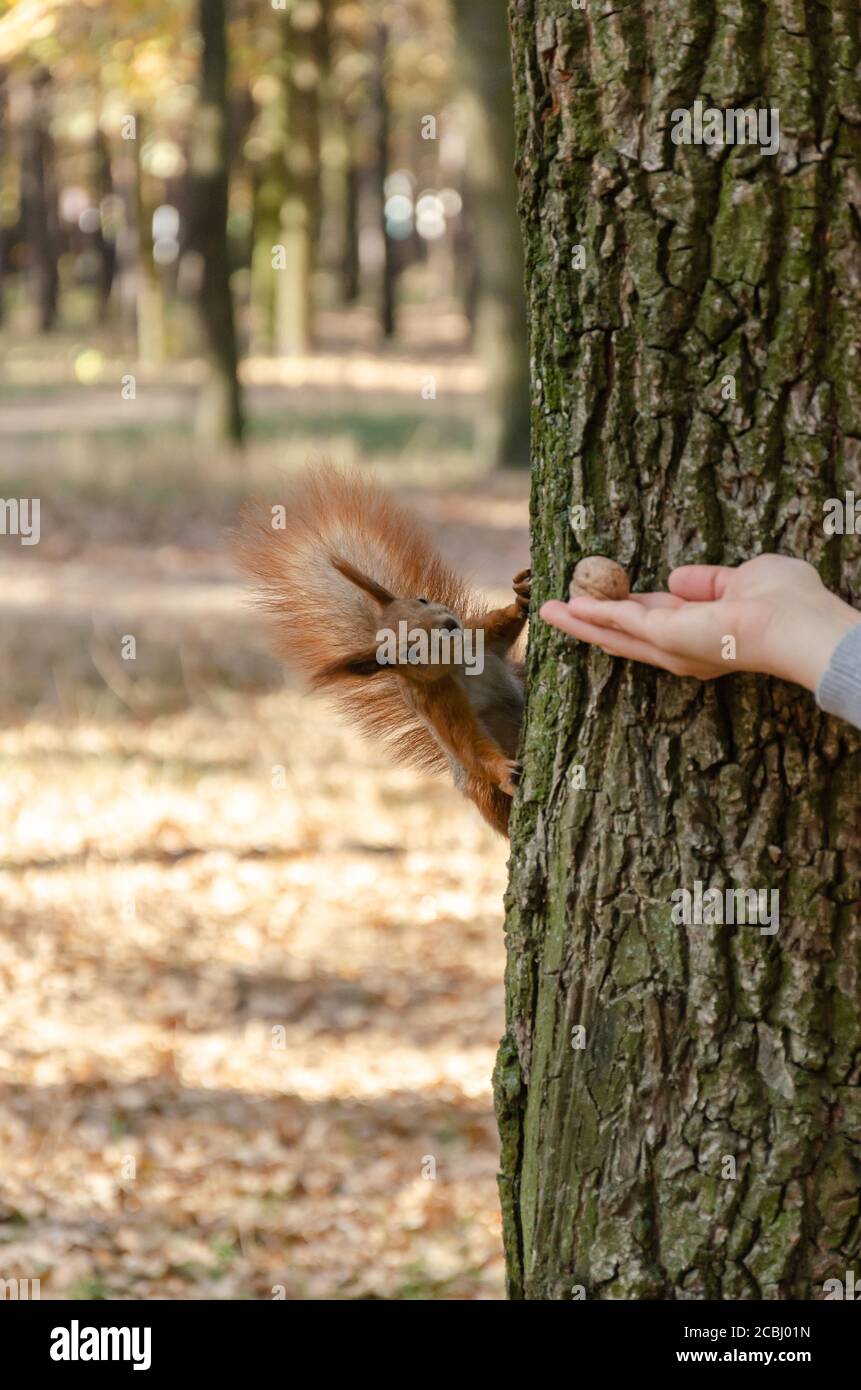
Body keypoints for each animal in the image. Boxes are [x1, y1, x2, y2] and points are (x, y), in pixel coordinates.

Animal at [235, 465, 530, 836]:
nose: (449, 624)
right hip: (484, 795)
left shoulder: (478, 637)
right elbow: (468, 743)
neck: (462, 663)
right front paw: (504, 770)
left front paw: (522, 596)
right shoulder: (437, 702)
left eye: (422, 598)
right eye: (411, 649)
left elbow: (502, 625)